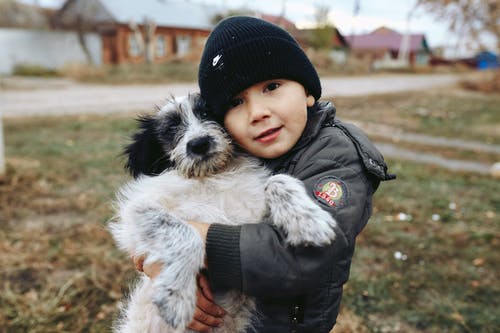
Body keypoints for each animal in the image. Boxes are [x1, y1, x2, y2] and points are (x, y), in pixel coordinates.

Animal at [108, 93, 338, 332]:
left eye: (208, 112)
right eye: (171, 127)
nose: (199, 144)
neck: (211, 177)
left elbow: (277, 180)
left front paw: (308, 220)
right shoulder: (135, 216)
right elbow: (186, 234)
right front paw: (177, 296)